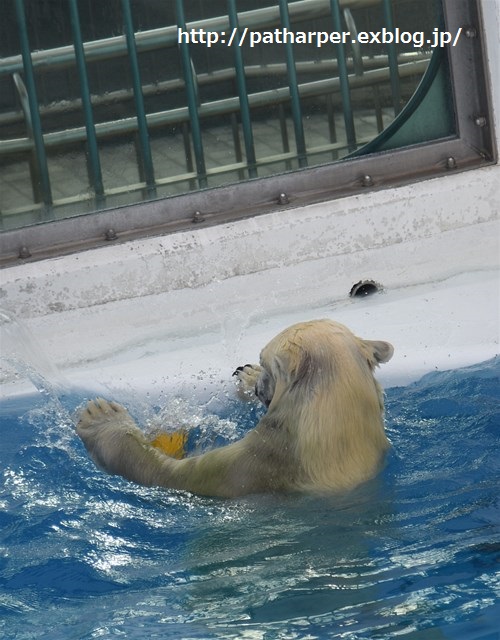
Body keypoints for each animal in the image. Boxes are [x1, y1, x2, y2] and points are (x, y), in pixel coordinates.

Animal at [76, 322, 392, 498]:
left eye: (267, 361)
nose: (259, 386)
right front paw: (246, 375)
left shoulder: (253, 468)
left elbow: (169, 475)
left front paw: (101, 417)